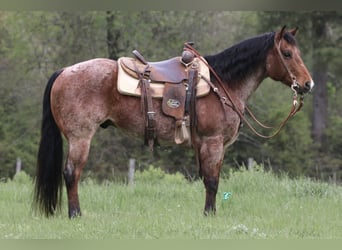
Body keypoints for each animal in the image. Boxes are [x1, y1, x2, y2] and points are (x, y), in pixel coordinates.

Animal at [33, 26, 314, 218]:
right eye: (287, 53)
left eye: (297, 52)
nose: (307, 84)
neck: (222, 82)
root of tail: (64, 72)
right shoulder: (212, 142)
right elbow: (212, 181)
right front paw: (209, 215)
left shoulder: (216, 146)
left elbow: (212, 179)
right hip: (80, 137)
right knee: (72, 173)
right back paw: (75, 214)